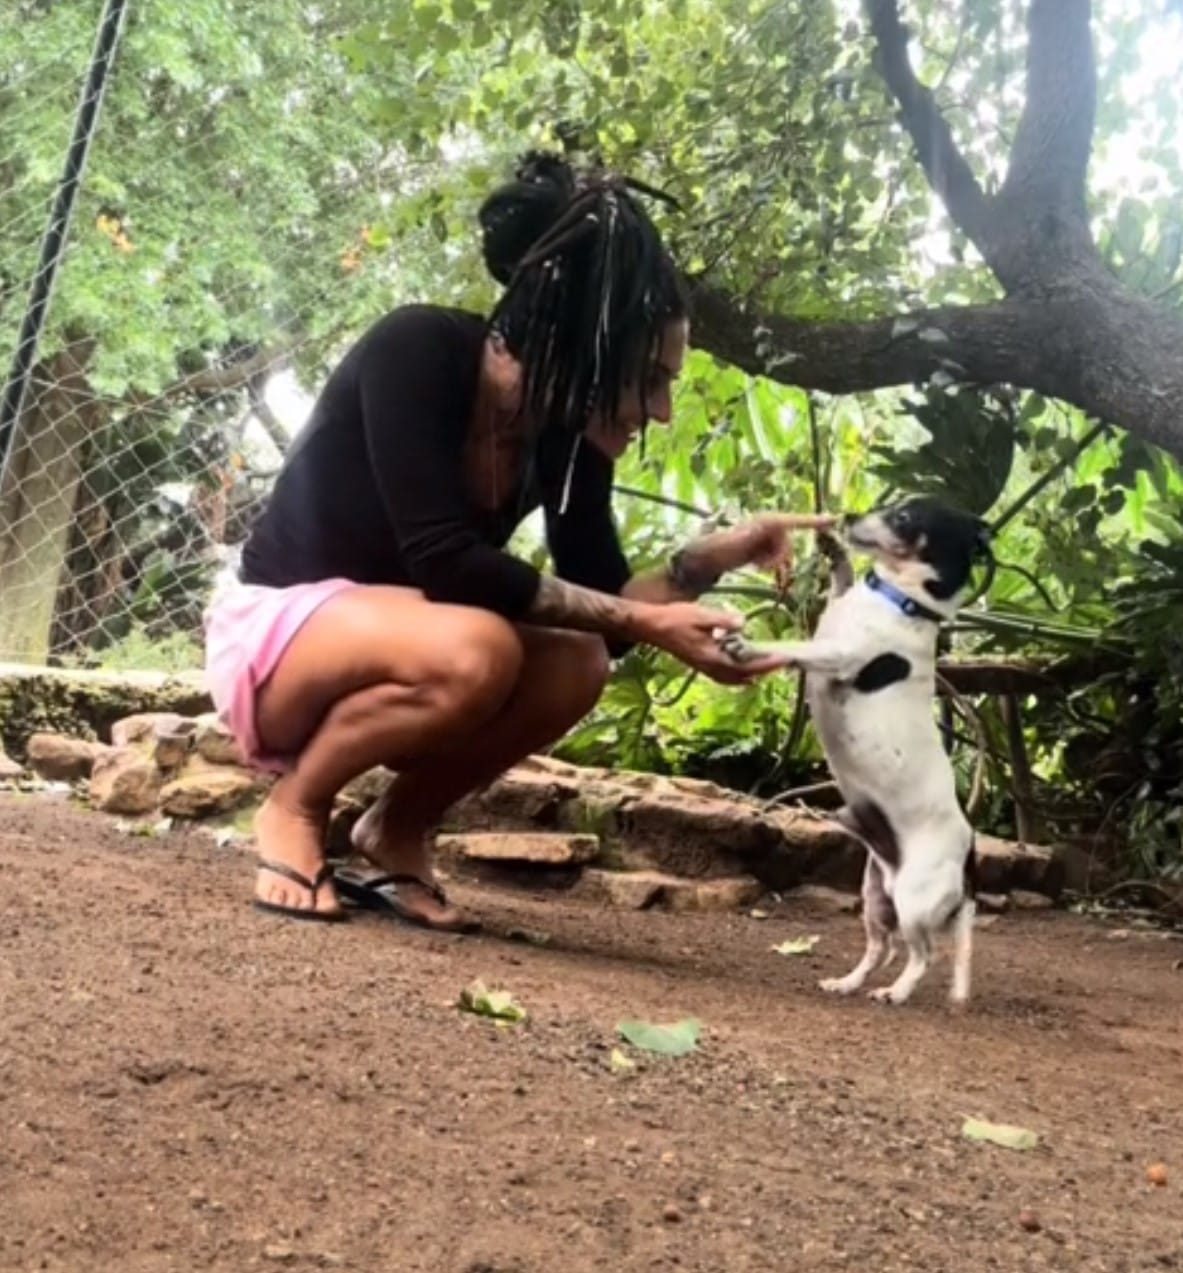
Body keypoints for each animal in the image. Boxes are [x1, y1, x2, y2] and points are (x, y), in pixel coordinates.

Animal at [723, 496, 993, 1003]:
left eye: (904, 516)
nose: (845, 517)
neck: (898, 599)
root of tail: (969, 854)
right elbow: (841, 577)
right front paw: (833, 549)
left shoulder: (835, 654)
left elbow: (790, 647)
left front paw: (746, 645)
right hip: (874, 896)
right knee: (881, 949)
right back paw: (847, 982)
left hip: (913, 901)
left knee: (923, 955)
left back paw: (897, 993)